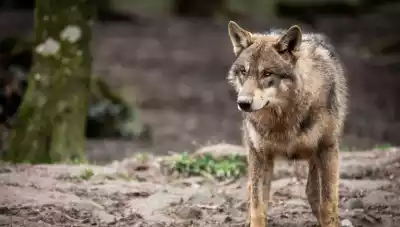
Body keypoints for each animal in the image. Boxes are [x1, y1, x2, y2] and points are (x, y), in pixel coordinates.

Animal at [227, 20, 348, 227]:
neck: (283, 119)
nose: (243, 103)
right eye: (244, 71)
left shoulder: (328, 149)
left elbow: (328, 203)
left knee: (313, 191)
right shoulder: (259, 154)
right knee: (252, 189)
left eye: (267, 73)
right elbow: (258, 207)